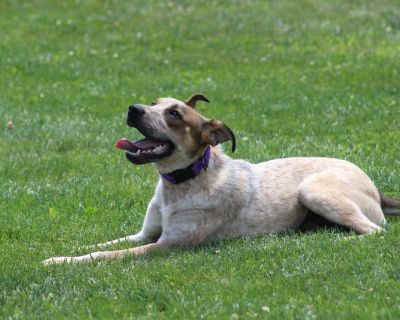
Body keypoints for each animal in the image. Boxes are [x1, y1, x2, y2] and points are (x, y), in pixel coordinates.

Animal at [42, 94, 398, 264]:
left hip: (312, 190)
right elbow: (103, 244)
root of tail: (376, 189)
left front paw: (60, 261)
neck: (180, 183)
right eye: (154, 103)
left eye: (174, 114)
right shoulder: (145, 234)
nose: (133, 109)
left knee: (375, 231)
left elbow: (105, 255)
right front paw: (66, 247)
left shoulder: (165, 246)